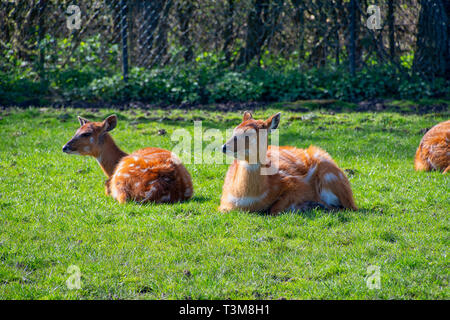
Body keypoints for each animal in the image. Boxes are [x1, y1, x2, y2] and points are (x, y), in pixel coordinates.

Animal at [220, 112, 356, 215]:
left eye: (249, 134)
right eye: (234, 131)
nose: (224, 147)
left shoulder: (298, 184)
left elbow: (275, 209)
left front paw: (305, 205)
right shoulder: (223, 201)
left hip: (329, 175)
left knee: (347, 207)